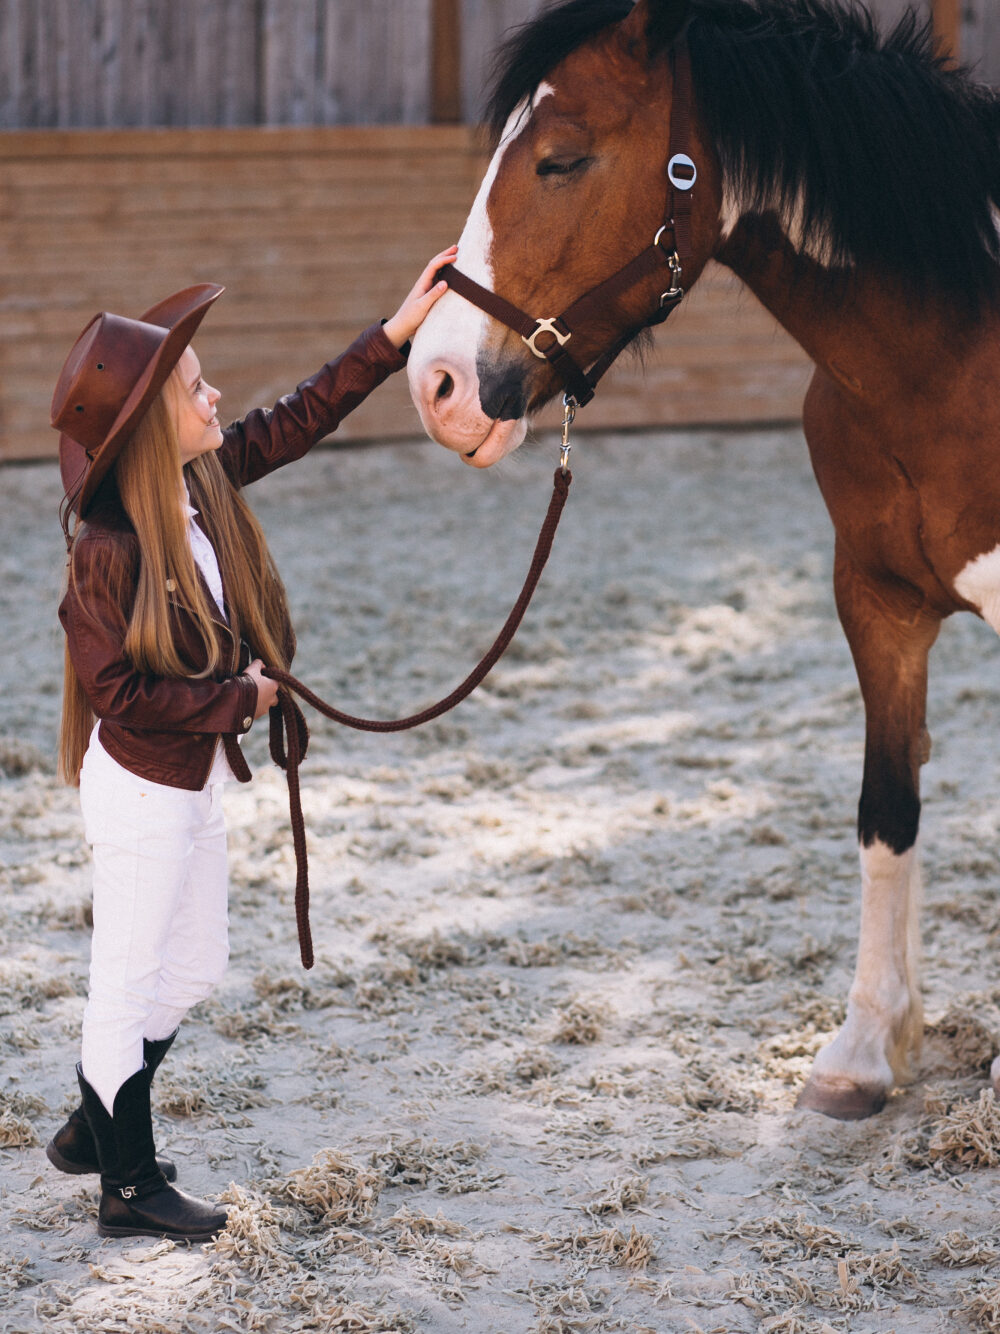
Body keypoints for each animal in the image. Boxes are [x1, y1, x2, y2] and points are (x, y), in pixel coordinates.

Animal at [405, 0, 1000, 1120]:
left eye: (561, 158)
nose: (439, 383)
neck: (956, 359)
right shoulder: (878, 603)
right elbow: (888, 808)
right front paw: (867, 1045)